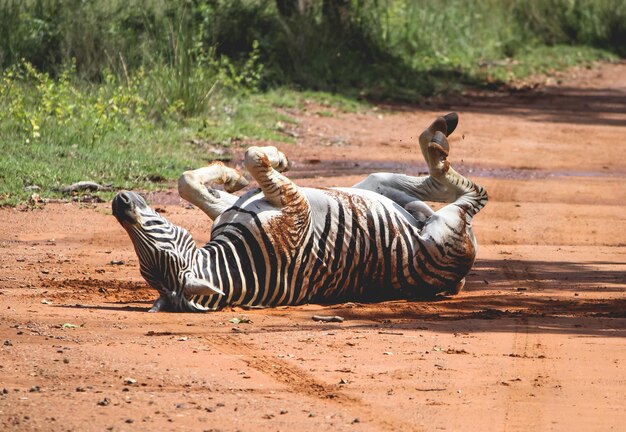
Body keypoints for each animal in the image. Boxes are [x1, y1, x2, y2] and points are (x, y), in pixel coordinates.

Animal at [111, 113, 488, 312]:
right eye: (153, 246)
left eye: (158, 231)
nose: (119, 203)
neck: (236, 259)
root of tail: (458, 277)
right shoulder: (295, 207)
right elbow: (251, 156)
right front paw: (269, 157)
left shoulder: (238, 207)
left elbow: (188, 181)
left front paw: (237, 172)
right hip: (444, 228)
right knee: (469, 192)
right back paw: (438, 135)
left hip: (376, 184)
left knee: (431, 186)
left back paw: (438, 135)